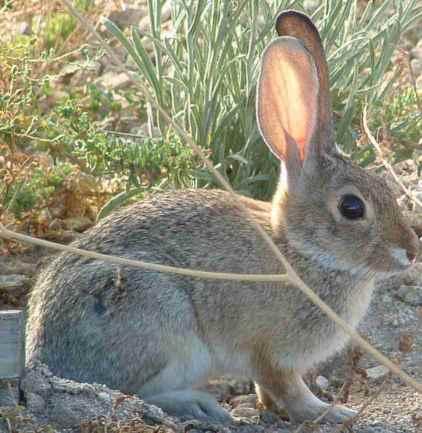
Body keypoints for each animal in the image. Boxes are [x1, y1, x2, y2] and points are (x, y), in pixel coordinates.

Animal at [26, 10, 418, 426]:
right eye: (352, 207)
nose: (410, 252)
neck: (299, 249)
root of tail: (40, 356)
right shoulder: (272, 355)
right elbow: (291, 391)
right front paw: (331, 412)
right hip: (161, 322)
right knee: (130, 394)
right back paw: (200, 405)